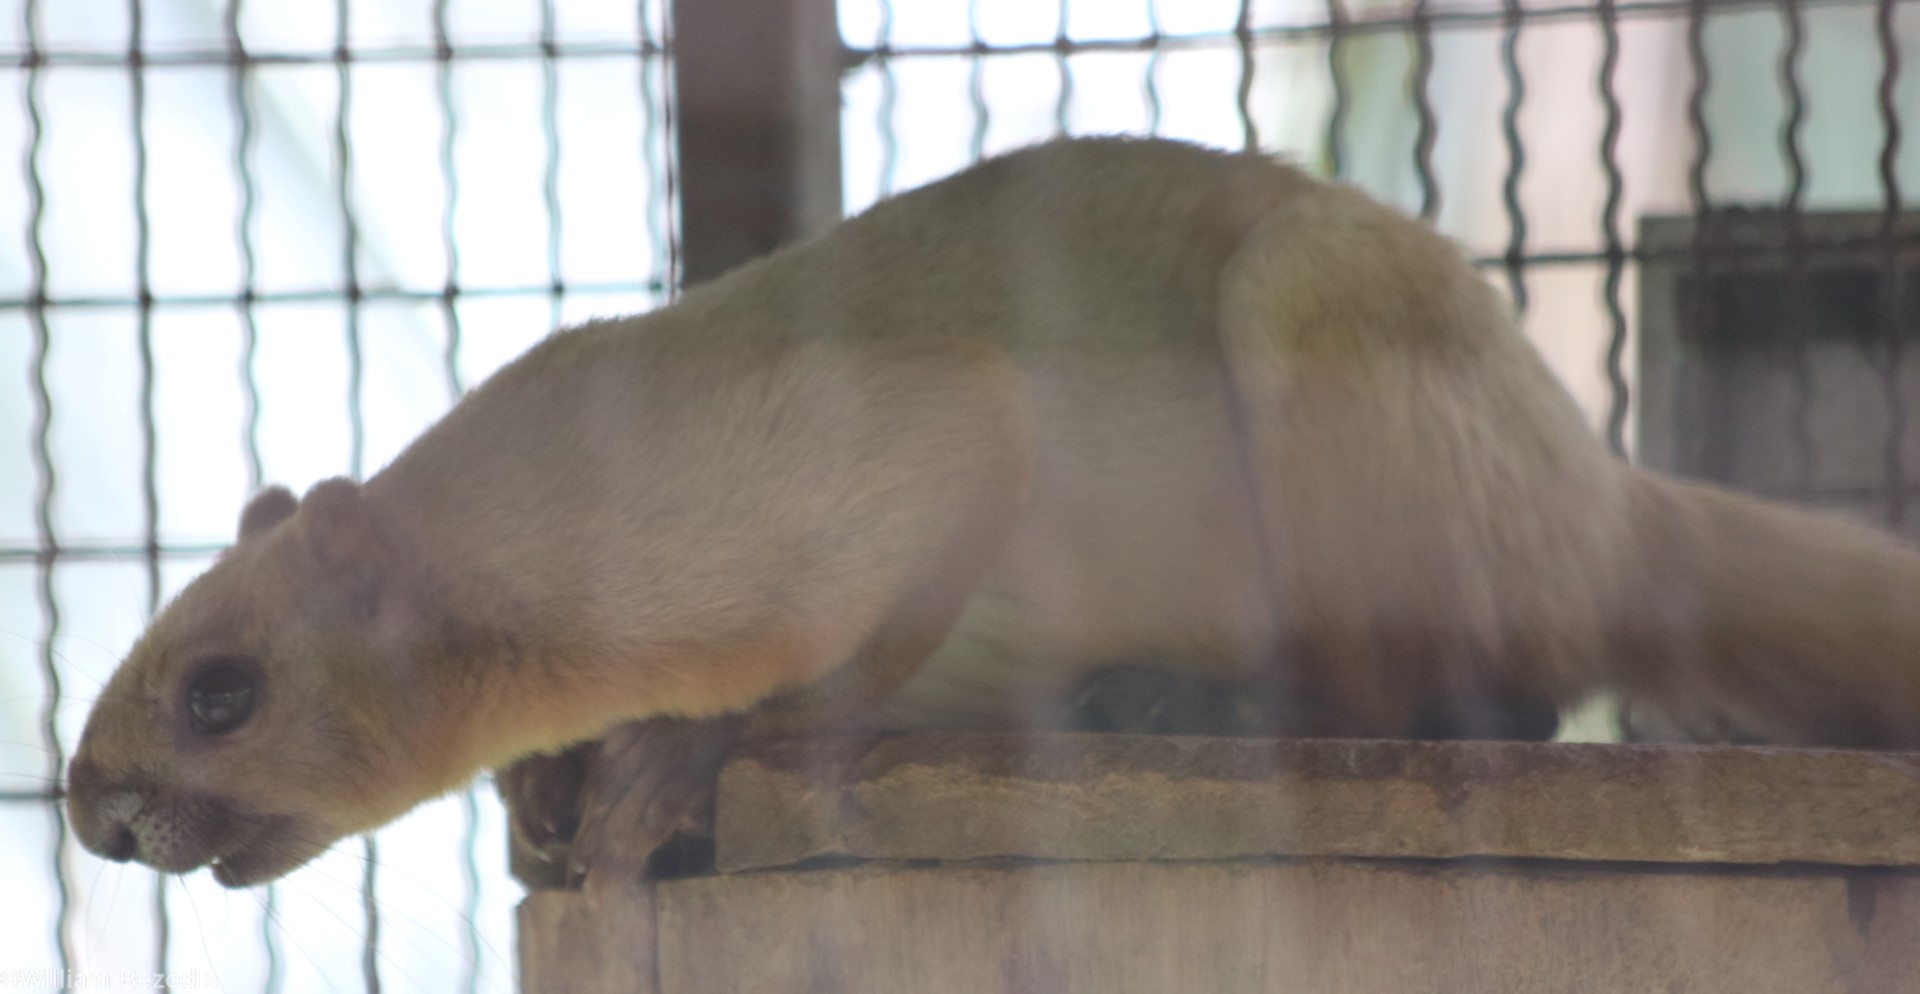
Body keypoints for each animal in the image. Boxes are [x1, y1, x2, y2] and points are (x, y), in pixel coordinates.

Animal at [65, 136, 1920, 889]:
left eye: (219, 689)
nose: (90, 817)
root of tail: (1597, 490)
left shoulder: (909, 446)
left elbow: (841, 659)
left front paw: (689, 758)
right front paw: (544, 793)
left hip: (1315, 335)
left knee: (1478, 703)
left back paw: (1182, 703)